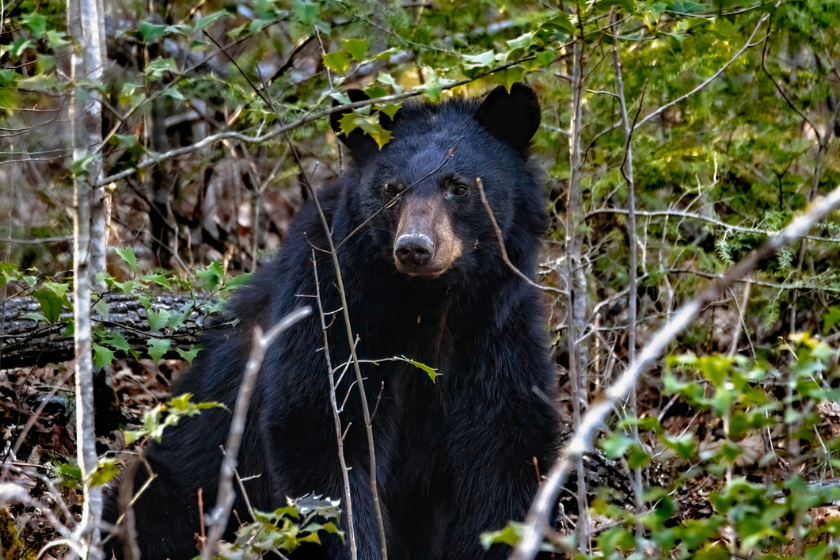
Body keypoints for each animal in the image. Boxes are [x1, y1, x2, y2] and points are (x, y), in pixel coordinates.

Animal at [105, 83, 560, 560]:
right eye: (391, 189)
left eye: (458, 186)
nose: (414, 247)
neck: (428, 303)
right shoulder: (332, 304)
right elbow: (321, 430)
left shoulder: (496, 327)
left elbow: (503, 446)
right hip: (175, 476)